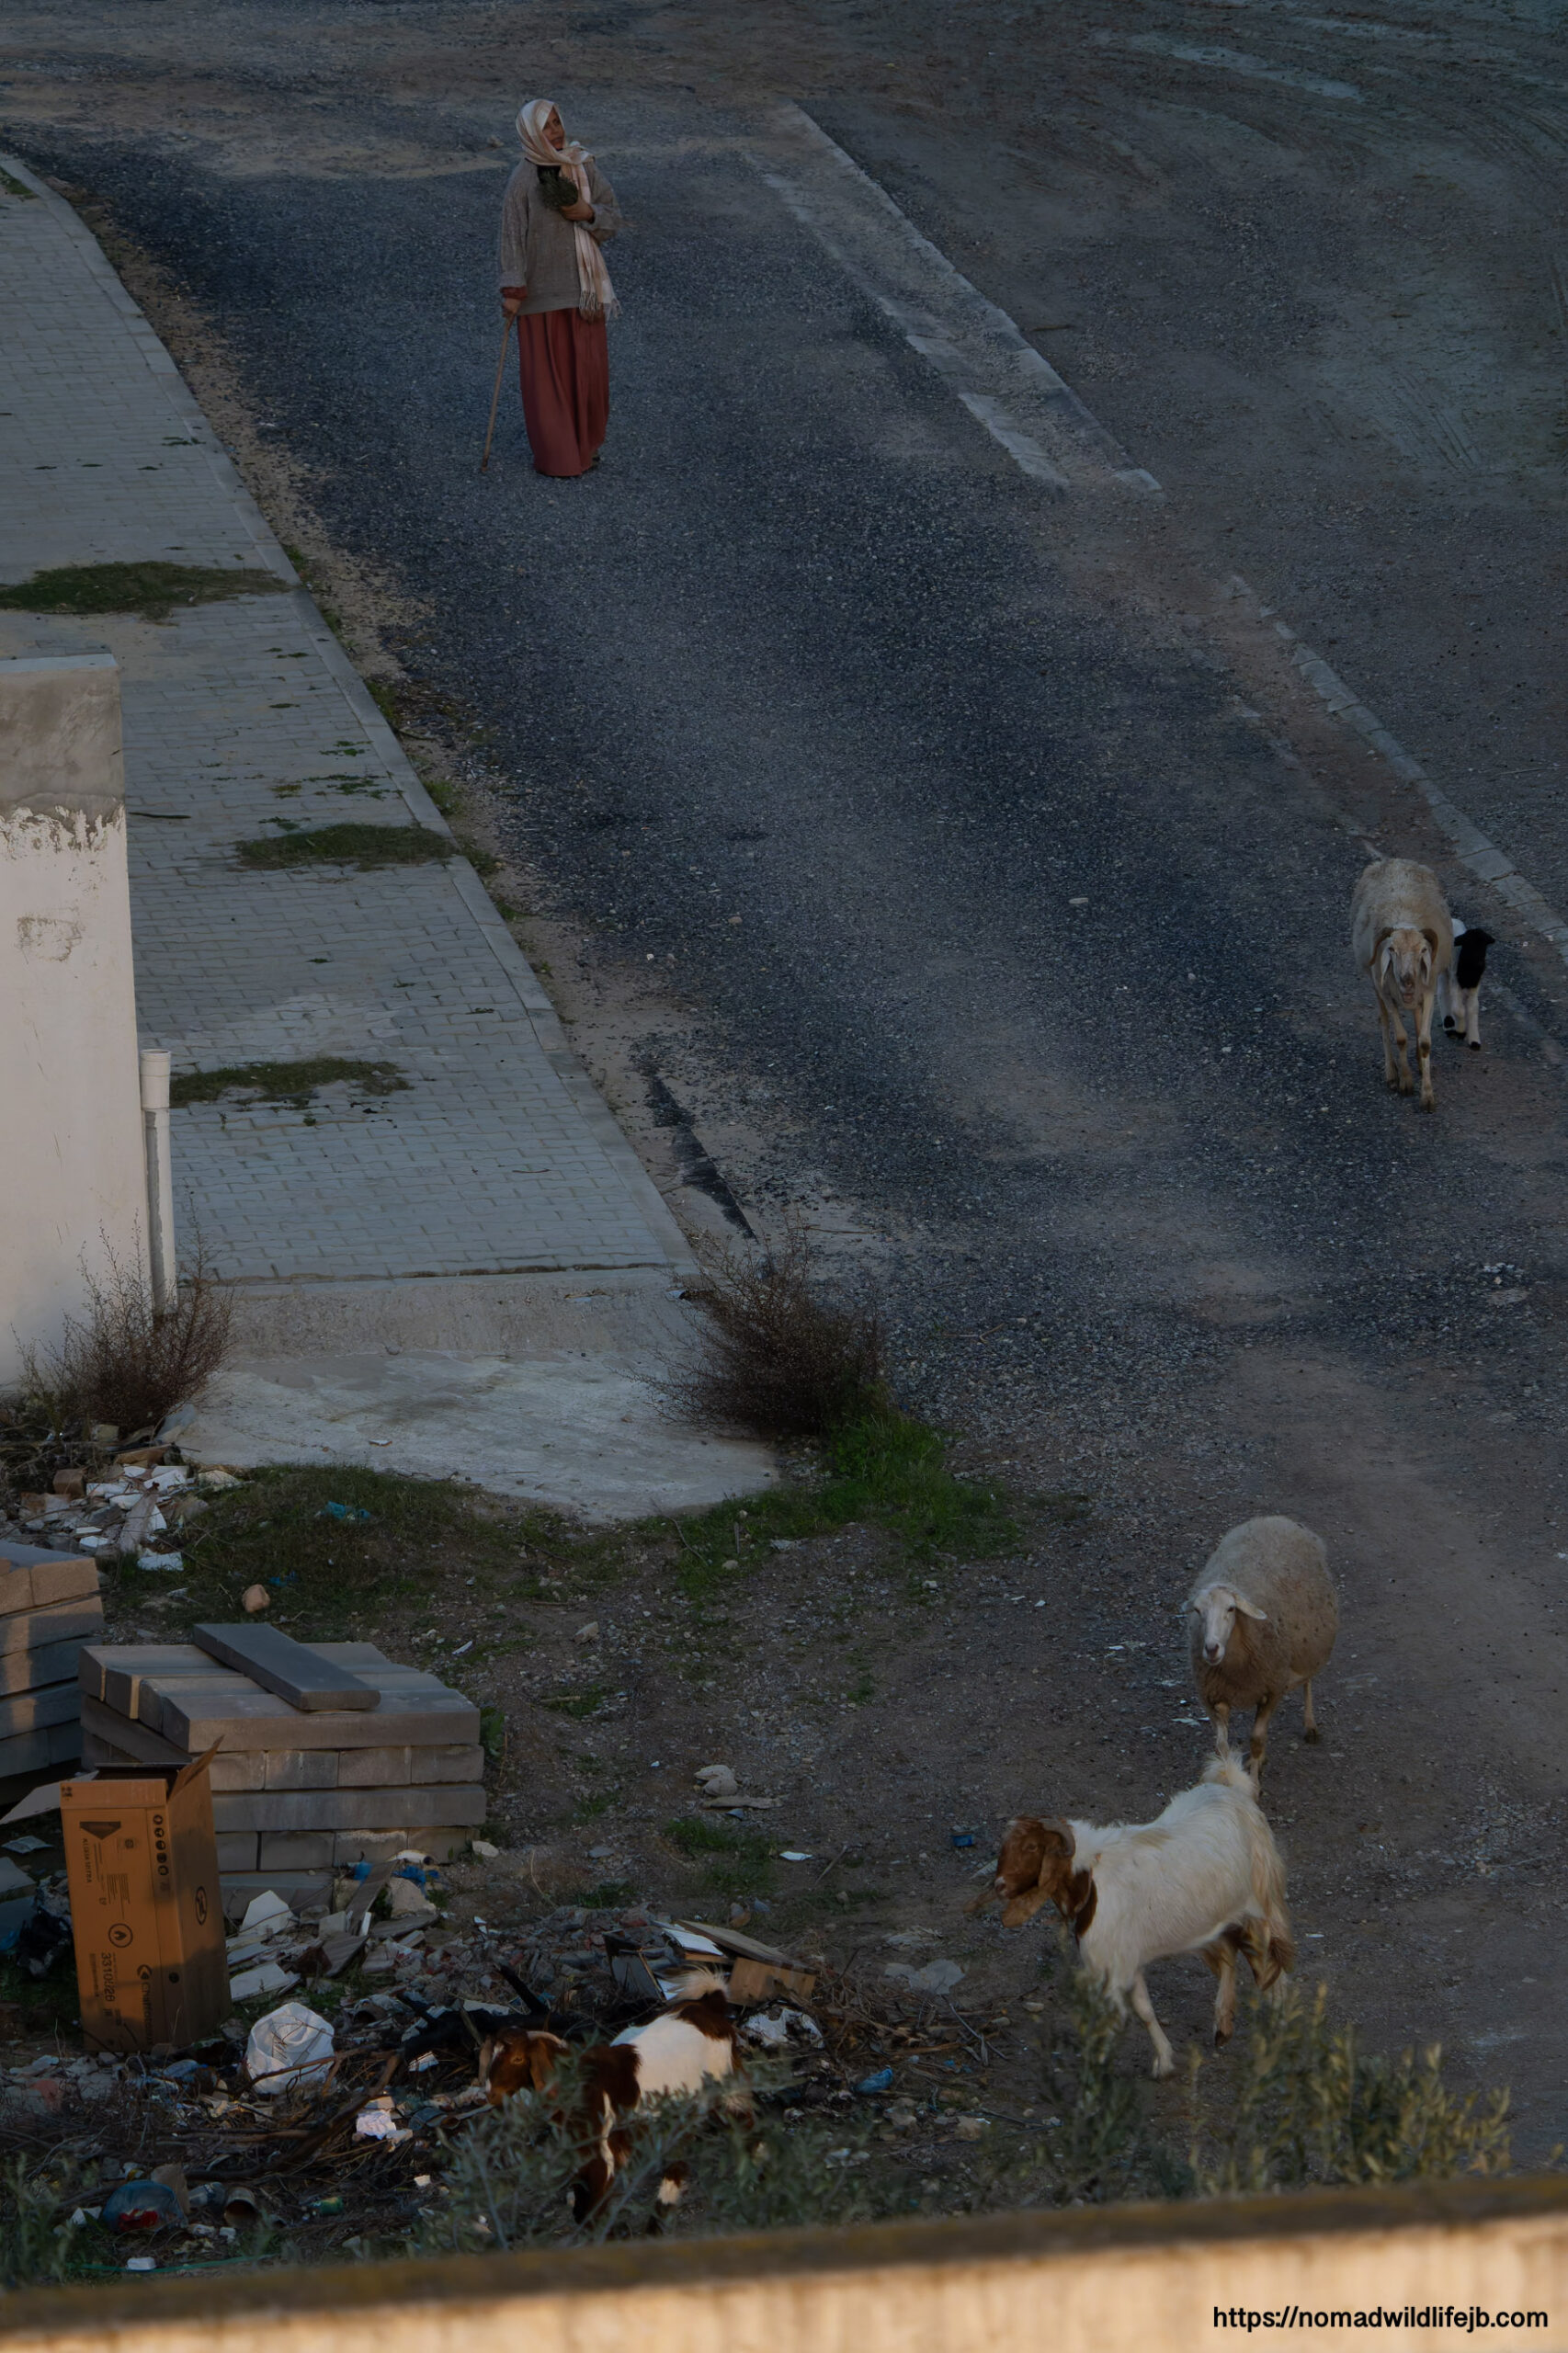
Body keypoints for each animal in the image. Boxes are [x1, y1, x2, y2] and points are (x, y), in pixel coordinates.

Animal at [480, 1971, 746, 2219]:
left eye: (518, 2059)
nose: (490, 2094)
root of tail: (710, 2007)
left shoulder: (603, 2152)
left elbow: (595, 2204)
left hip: (724, 2083)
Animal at [980, 1756, 1293, 2078]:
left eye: (1032, 1847)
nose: (999, 1885)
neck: (1090, 1878)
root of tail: (1231, 1788)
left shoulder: (1112, 1967)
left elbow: (1112, 2020)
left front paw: (1097, 2073)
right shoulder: (1126, 1961)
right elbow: (1144, 2010)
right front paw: (1164, 2060)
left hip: (1263, 1906)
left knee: (1272, 1966)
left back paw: (1276, 2027)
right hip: (1216, 1921)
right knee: (1230, 1957)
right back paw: (1223, 2026)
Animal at [1188, 1514, 1338, 1782]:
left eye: (1231, 1609)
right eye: (1197, 1610)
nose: (1211, 1649)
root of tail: (1276, 1518)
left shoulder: (1273, 1688)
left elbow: (1257, 1740)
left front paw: (1255, 1786)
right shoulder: (1214, 1697)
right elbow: (1222, 1748)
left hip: (1304, 1653)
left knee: (1308, 1682)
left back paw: (1310, 1725)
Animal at [1351, 857, 1453, 1111]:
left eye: (1423, 950)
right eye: (1392, 950)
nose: (1406, 977)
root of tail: (1393, 860)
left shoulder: (1428, 991)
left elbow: (1425, 1041)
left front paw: (1427, 1095)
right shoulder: (1387, 993)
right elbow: (1400, 1037)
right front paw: (1406, 1082)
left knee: (1416, 1017)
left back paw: (1419, 1062)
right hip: (1375, 985)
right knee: (1383, 1022)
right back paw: (1391, 1073)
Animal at [1438, 920, 1495, 1052]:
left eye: (1484, 946)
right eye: (1467, 944)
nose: (1480, 964)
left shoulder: (1474, 988)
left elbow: (1473, 1008)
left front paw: (1474, 1041)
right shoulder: (1455, 982)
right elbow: (1459, 1010)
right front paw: (1461, 1031)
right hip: (1444, 969)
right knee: (1443, 992)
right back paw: (1448, 1025)